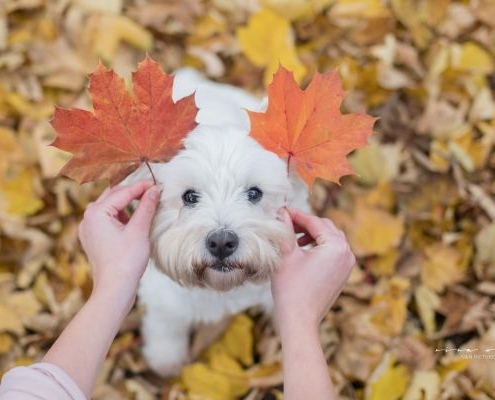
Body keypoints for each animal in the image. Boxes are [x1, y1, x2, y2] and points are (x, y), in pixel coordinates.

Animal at [132, 69, 310, 376]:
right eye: (189, 196)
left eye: (255, 193)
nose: (222, 242)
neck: (223, 289)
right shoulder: (163, 296)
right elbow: (166, 323)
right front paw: (166, 359)